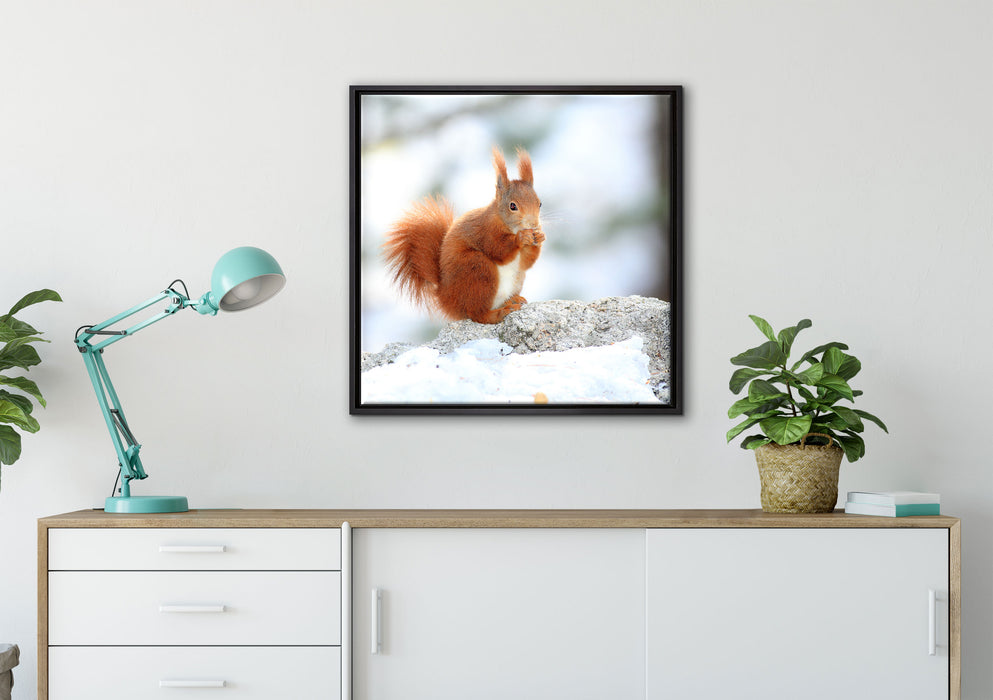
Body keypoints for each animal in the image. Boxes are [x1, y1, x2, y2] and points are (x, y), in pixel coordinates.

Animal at [382, 146, 545, 324]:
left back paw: (512, 300)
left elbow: (526, 262)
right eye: (513, 206)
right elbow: (498, 250)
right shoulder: (485, 231)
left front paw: (540, 237)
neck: (506, 223)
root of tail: (445, 298)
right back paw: (500, 312)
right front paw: (521, 238)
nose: (533, 224)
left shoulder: (521, 261)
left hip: (516, 278)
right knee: (478, 314)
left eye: (539, 203)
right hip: (477, 269)